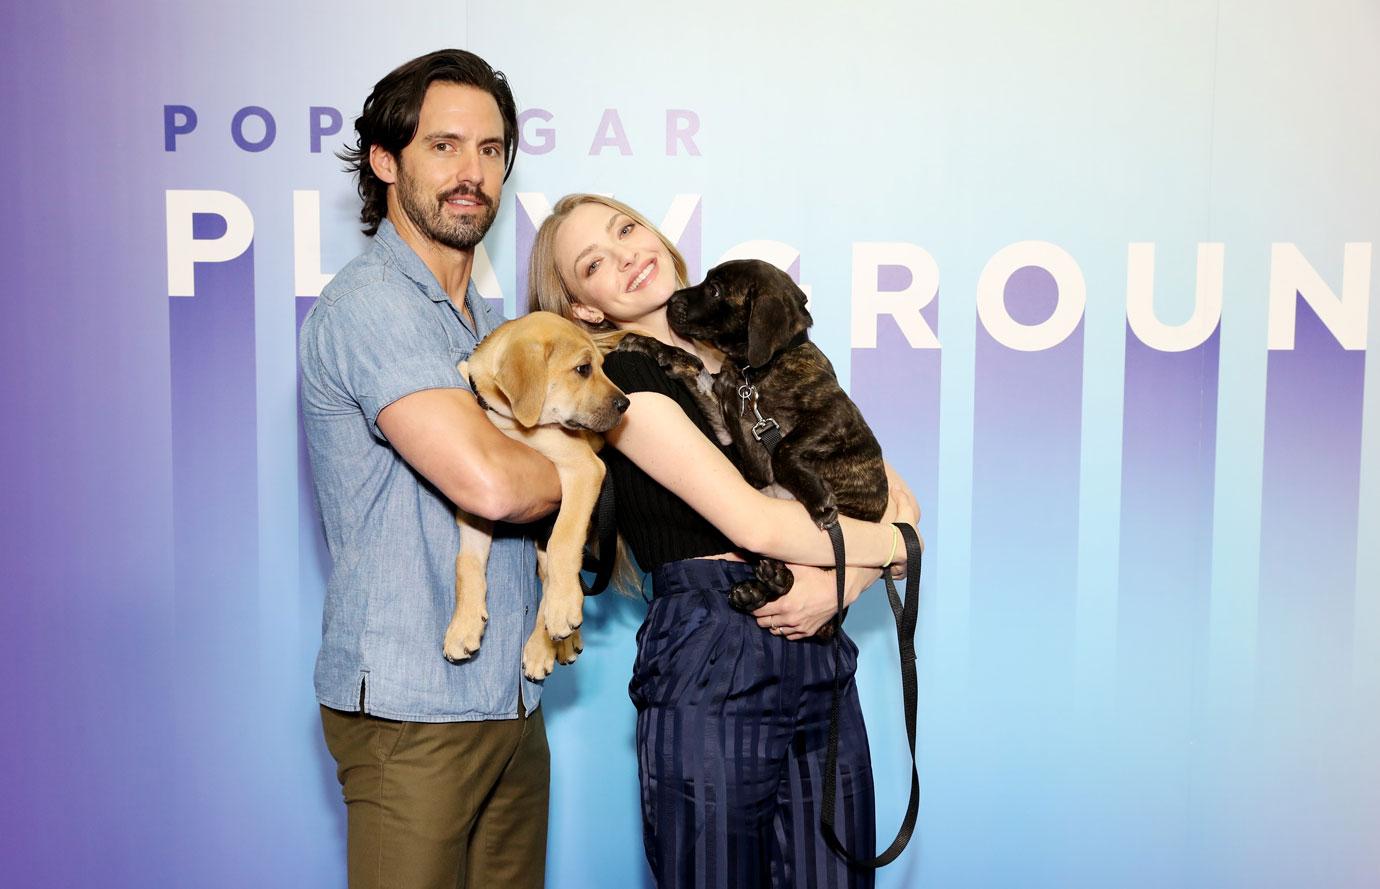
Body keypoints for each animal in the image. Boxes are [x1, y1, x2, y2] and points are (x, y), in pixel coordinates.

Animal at [444, 311, 629, 681]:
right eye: (583, 369)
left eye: (602, 367)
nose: (626, 404)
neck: (510, 422)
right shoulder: (477, 503)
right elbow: (465, 563)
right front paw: (464, 625)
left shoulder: (584, 468)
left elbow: (564, 541)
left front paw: (562, 609)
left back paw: (546, 640)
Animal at [615, 260, 883, 615]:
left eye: (715, 290)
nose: (670, 300)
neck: (753, 372)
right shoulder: (727, 425)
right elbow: (693, 364)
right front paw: (647, 344)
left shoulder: (835, 413)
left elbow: (784, 447)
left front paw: (816, 498)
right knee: (788, 578)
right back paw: (760, 588)